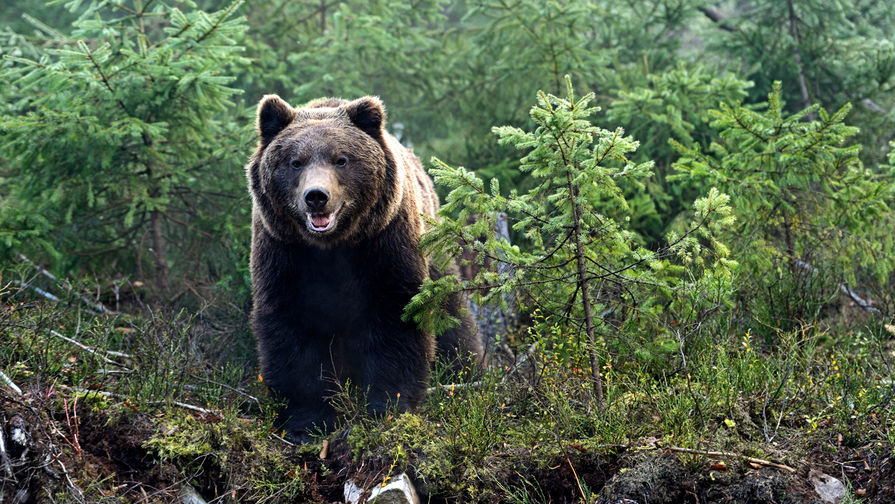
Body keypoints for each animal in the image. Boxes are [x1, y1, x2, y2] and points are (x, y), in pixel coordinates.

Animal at [245, 94, 484, 440]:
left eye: (341, 159)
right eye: (295, 162)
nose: (316, 196)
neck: (332, 246)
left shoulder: (383, 245)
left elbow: (396, 318)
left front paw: (387, 408)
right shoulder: (284, 254)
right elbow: (293, 331)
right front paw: (306, 422)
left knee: (452, 316)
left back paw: (466, 371)